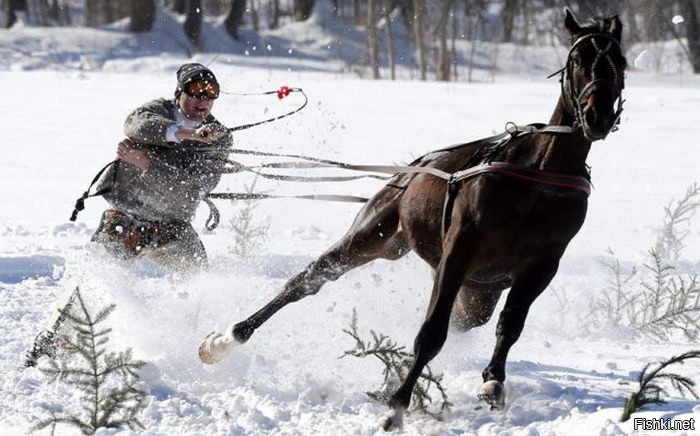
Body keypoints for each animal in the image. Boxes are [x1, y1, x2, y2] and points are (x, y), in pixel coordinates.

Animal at [200, 8, 628, 430]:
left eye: (620, 62)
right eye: (578, 59)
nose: (598, 116)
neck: (540, 175)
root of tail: (412, 169)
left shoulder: (541, 266)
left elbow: (509, 325)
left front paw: (492, 382)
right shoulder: (459, 252)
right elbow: (432, 332)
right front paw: (396, 406)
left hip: (477, 289)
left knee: (467, 319)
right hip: (375, 234)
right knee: (310, 279)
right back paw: (225, 339)